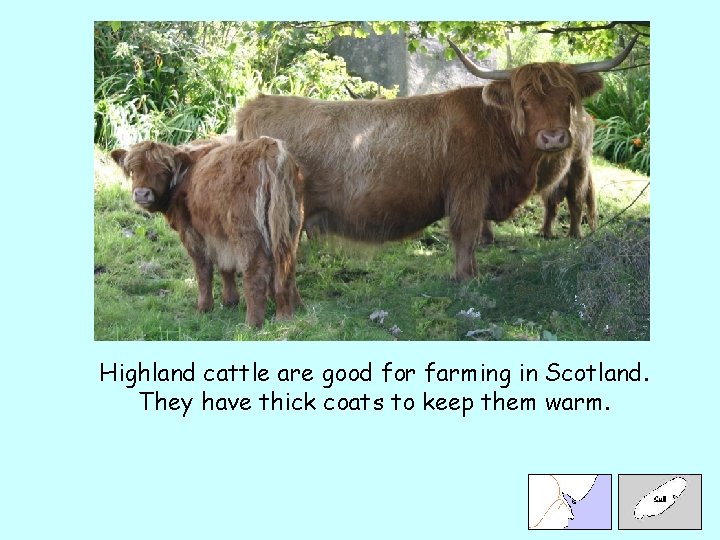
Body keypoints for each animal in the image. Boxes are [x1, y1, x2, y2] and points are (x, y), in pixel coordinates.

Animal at [110, 136, 304, 327]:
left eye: (163, 171)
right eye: (133, 171)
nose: (141, 194)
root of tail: (267, 146)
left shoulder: (191, 232)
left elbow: (203, 269)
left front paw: (204, 307)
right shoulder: (219, 234)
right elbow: (226, 266)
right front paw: (230, 300)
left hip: (247, 233)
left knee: (255, 270)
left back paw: (253, 323)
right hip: (290, 227)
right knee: (287, 265)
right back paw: (288, 312)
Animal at [236, 36, 637, 279]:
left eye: (568, 98)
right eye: (524, 100)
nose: (553, 137)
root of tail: (256, 104)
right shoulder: (468, 191)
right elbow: (466, 235)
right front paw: (467, 278)